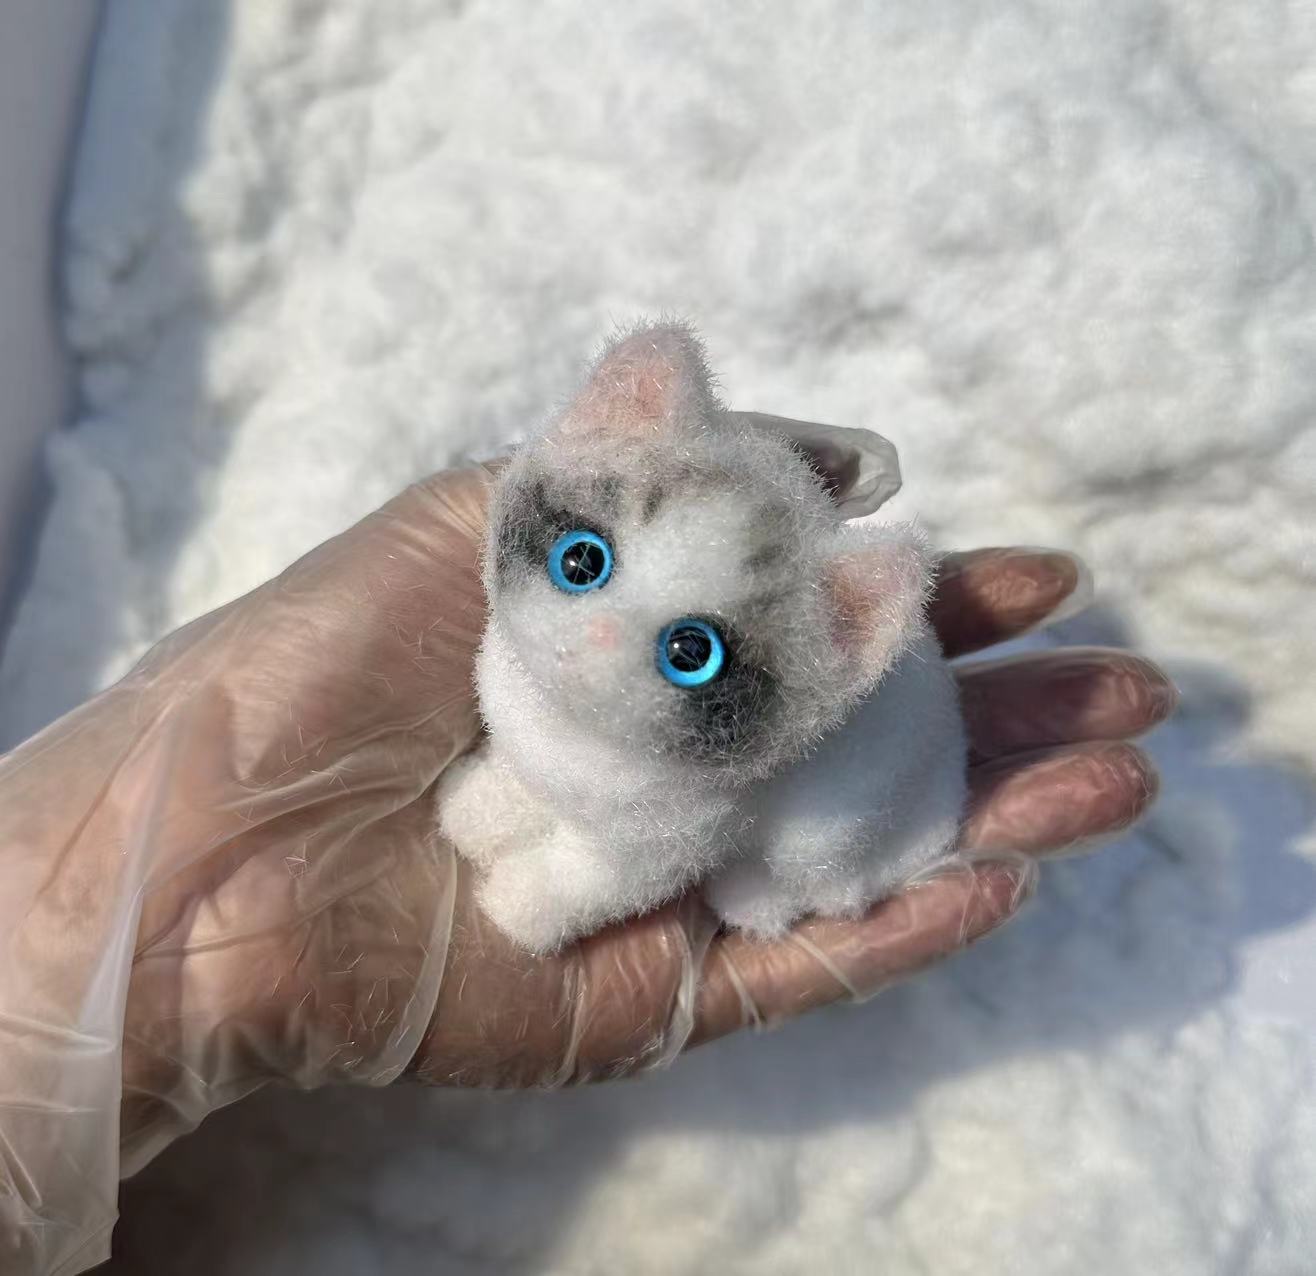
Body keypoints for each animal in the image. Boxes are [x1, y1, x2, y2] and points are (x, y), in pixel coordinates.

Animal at [436, 323, 963, 952]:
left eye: (692, 652)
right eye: (582, 560)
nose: (600, 634)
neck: (574, 739)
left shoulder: (658, 851)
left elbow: (581, 884)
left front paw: (518, 909)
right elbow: (513, 789)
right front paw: (471, 811)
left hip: (831, 841)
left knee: (830, 887)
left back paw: (757, 903)